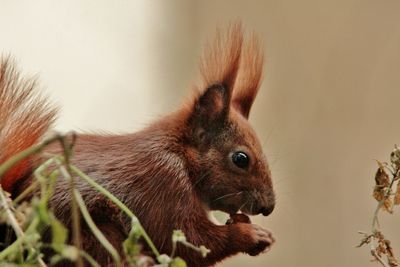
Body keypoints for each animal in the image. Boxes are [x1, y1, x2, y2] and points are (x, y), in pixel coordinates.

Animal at [0, 24, 276, 266]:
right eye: (241, 159)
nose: (269, 207)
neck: (180, 156)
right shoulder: (162, 185)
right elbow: (189, 241)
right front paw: (251, 235)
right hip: (88, 234)